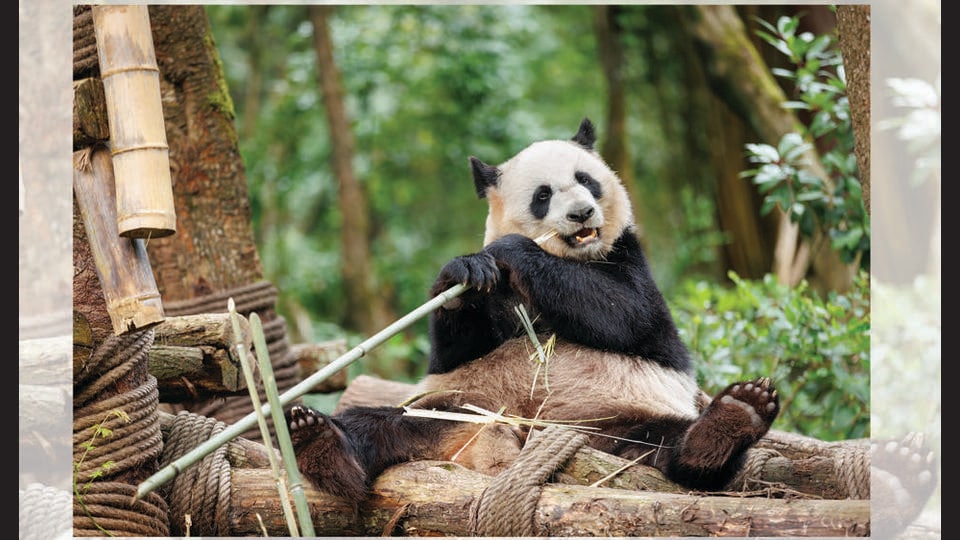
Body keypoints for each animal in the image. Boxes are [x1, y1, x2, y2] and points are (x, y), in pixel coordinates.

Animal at [286, 118, 780, 505]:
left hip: (612, 420)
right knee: (376, 425)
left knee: (663, 444)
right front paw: (466, 270)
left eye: (587, 179)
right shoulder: (481, 327)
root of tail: (494, 444)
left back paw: (732, 420)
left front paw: (513, 249)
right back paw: (319, 441)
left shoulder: (628, 258)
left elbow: (629, 315)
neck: (568, 255)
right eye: (543, 195)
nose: (582, 213)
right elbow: (453, 352)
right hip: (457, 408)